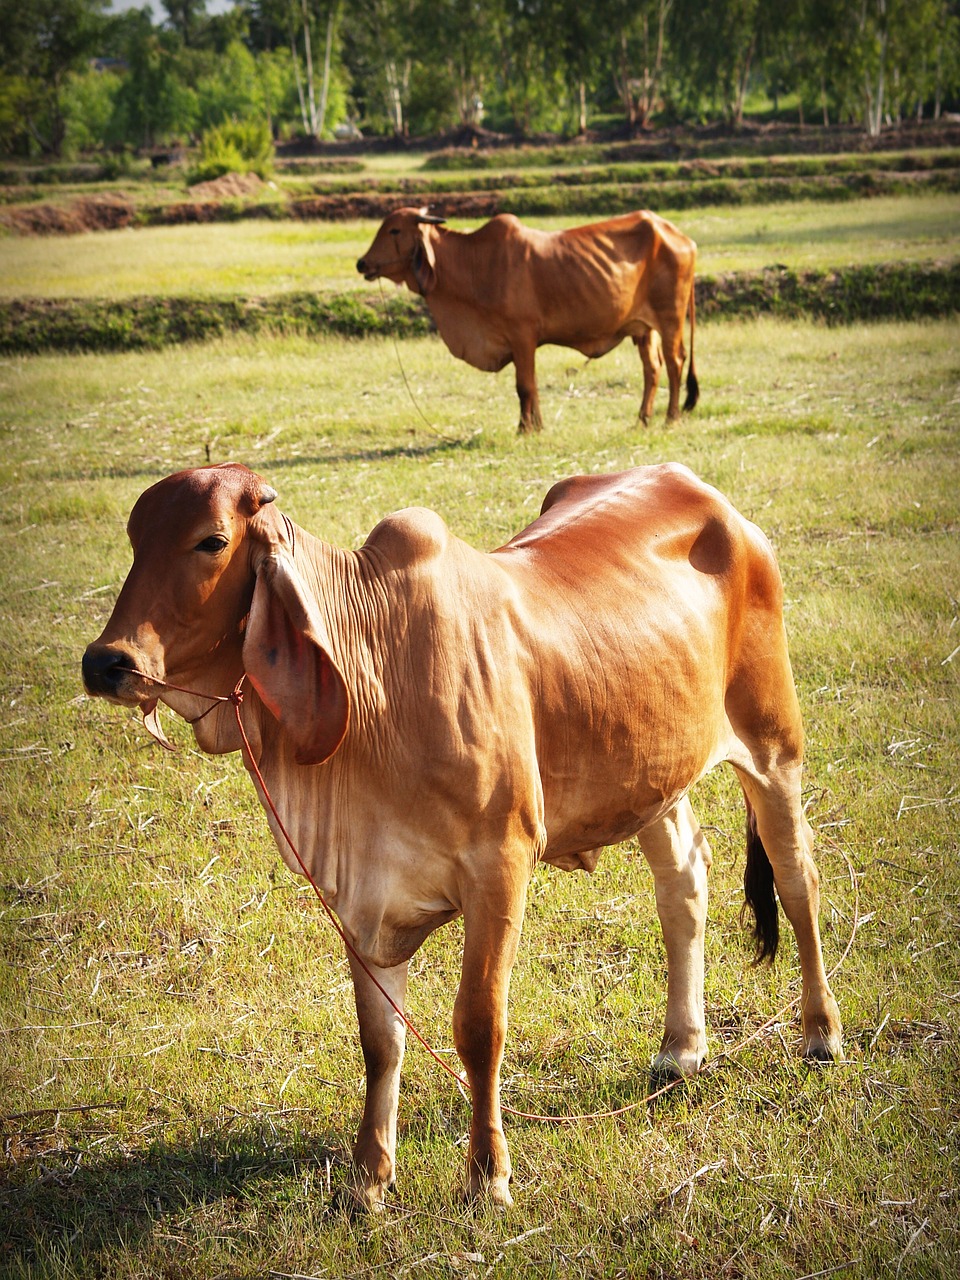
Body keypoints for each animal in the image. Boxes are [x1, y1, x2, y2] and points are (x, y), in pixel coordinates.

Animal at [86, 460, 844, 1208]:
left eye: (212, 541)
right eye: (132, 537)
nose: (105, 662)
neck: (377, 673)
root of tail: (703, 490)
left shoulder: (500, 865)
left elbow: (479, 1027)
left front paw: (488, 1174)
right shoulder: (359, 893)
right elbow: (380, 1038)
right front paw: (369, 1178)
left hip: (774, 745)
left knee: (797, 878)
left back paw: (821, 1033)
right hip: (652, 777)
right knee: (684, 882)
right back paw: (681, 1047)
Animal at [358, 206, 701, 430]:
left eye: (394, 229)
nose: (362, 263)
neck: (473, 263)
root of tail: (681, 236)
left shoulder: (522, 337)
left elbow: (524, 386)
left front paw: (526, 428)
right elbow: (531, 386)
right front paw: (535, 424)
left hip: (670, 319)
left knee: (675, 362)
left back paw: (671, 417)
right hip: (644, 330)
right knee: (652, 368)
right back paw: (642, 419)